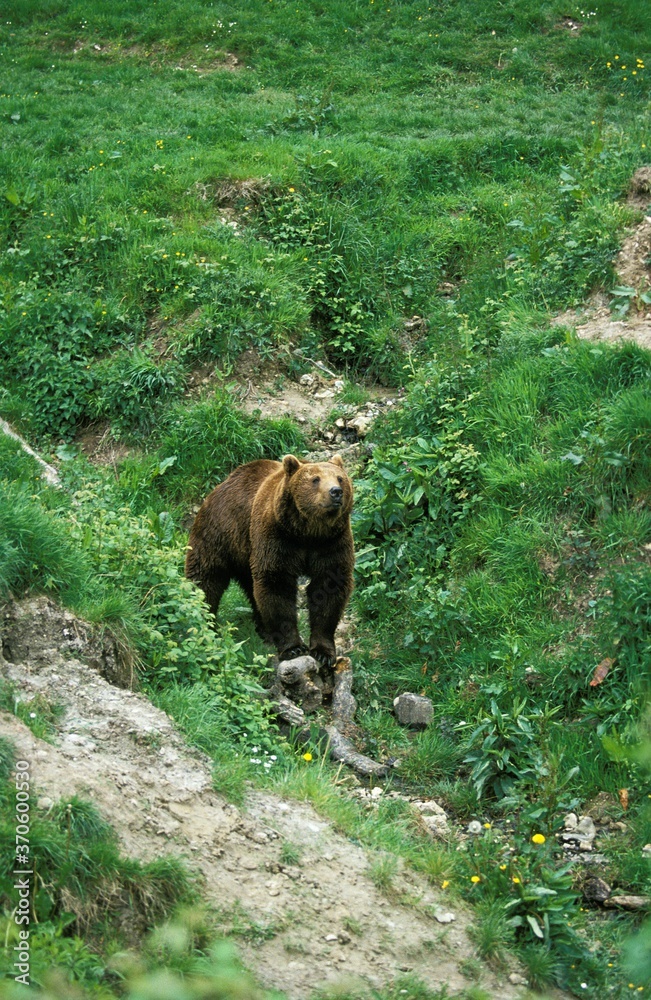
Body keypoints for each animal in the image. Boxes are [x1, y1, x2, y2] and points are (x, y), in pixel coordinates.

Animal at [183, 458, 356, 668]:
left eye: (340, 478)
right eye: (315, 479)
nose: (335, 491)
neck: (308, 532)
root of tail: (219, 486)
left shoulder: (331, 542)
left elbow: (329, 587)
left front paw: (323, 652)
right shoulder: (277, 537)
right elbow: (276, 585)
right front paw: (293, 648)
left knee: (250, 587)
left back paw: (263, 628)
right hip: (220, 534)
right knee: (206, 580)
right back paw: (204, 622)